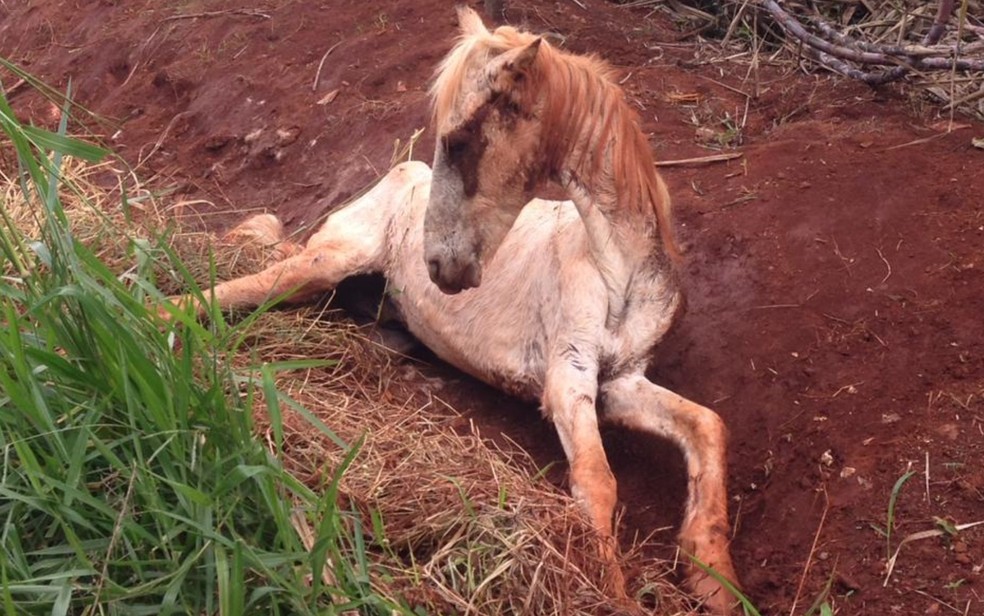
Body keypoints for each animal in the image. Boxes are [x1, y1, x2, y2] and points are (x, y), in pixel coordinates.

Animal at [164, 7, 739, 613]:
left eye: (461, 141)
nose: (439, 264)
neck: (619, 272)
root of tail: (398, 175)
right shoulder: (568, 376)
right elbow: (598, 480)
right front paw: (613, 595)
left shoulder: (621, 383)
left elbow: (708, 427)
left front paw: (714, 582)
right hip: (323, 264)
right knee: (233, 289)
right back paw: (149, 317)